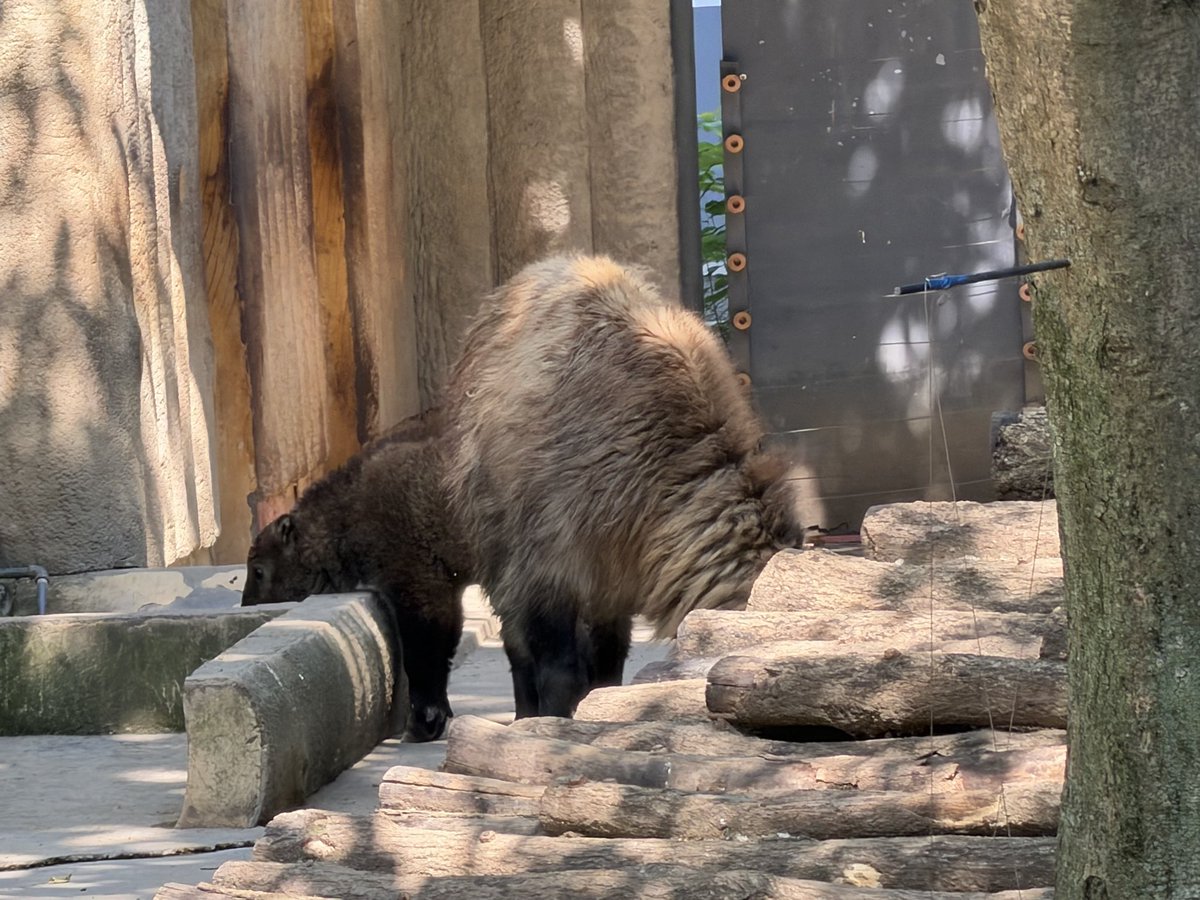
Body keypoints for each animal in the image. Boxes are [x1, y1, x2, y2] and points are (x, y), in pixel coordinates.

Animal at [242, 408, 472, 742]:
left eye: (258, 571)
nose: (247, 602)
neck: (348, 511)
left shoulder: (419, 582)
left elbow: (426, 646)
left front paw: (426, 716)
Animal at [441, 254, 803, 719]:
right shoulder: (545, 566)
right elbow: (557, 670)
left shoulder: (616, 581)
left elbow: (606, 669)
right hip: (499, 550)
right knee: (519, 650)